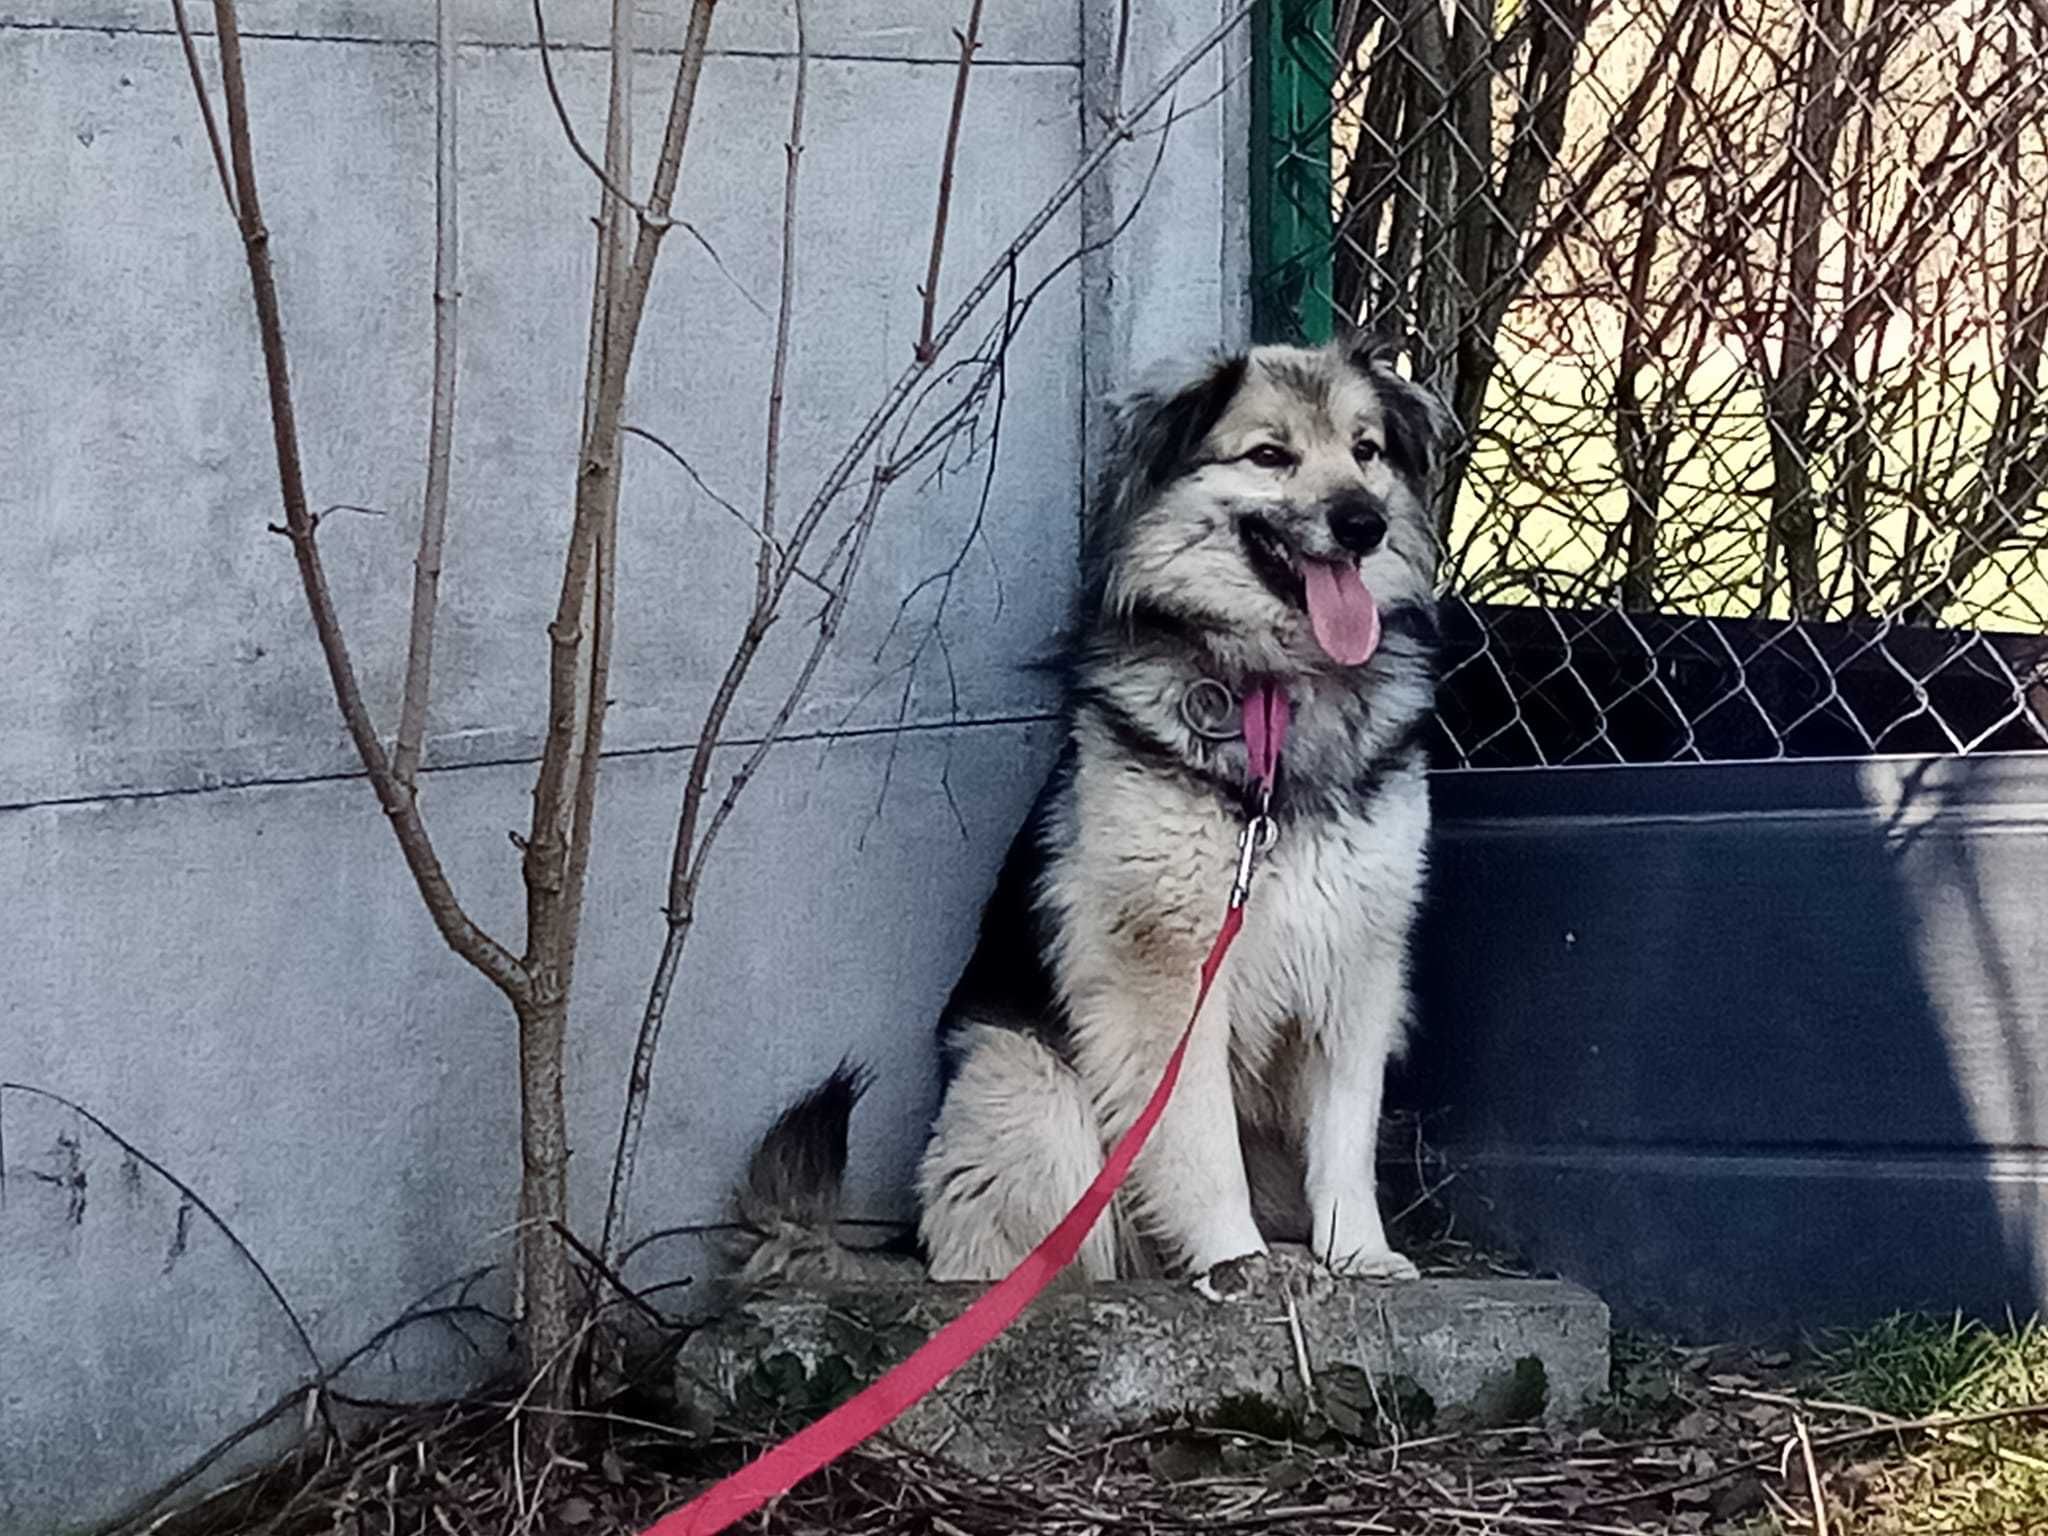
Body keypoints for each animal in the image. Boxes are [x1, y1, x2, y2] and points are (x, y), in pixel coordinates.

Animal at [729, 339, 1449, 1302]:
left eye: (1366, 451)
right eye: (1270, 456)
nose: (1362, 524)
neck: (1274, 694)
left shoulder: (1358, 960)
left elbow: (1345, 1133)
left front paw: (1359, 1254)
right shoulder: (1165, 976)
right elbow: (1199, 1141)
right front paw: (1234, 1258)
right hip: (1024, 1084)